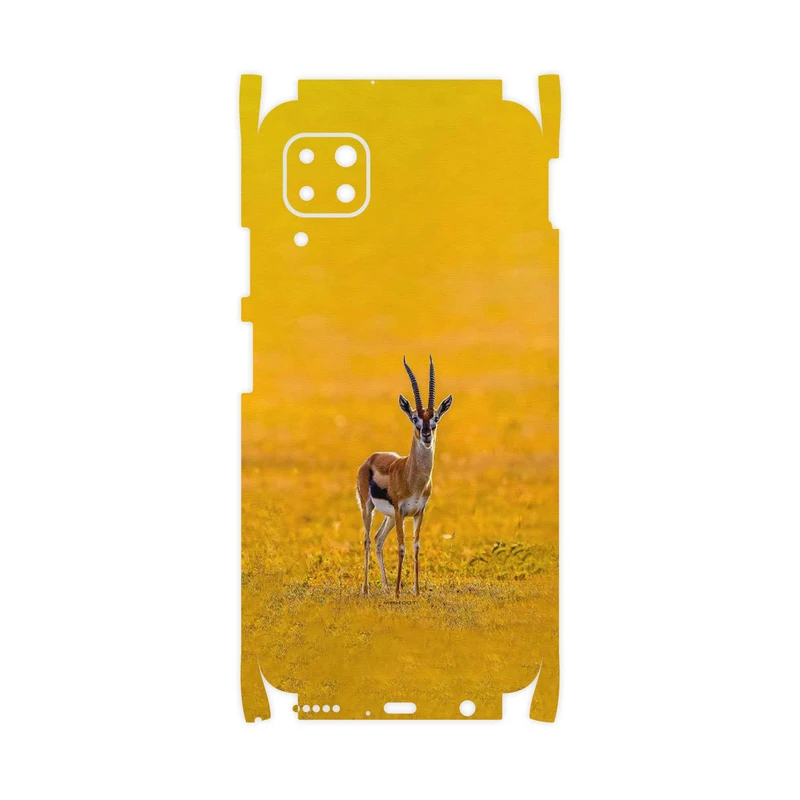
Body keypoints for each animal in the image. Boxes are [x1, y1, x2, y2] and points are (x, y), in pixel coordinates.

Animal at [356, 356, 453, 597]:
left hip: (390, 517)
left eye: (435, 418)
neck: (413, 479)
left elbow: (415, 546)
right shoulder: (401, 511)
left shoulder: (419, 512)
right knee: (367, 540)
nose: (426, 434)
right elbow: (401, 547)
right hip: (368, 508)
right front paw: (400, 592)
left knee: (378, 539)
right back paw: (367, 589)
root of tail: (371, 458)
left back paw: (385, 587)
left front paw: (416, 591)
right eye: (414, 418)